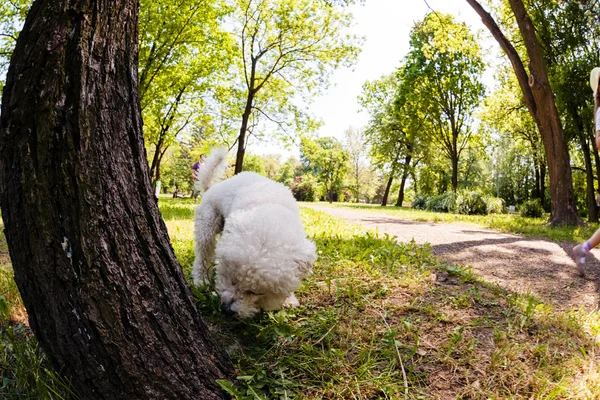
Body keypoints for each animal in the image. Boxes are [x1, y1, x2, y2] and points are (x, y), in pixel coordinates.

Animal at [193, 147, 318, 318]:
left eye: (256, 292)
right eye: (233, 280)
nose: (227, 310)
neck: (271, 208)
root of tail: (211, 188)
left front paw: (289, 299)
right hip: (207, 224)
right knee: (203, 254)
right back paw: (201, 280)